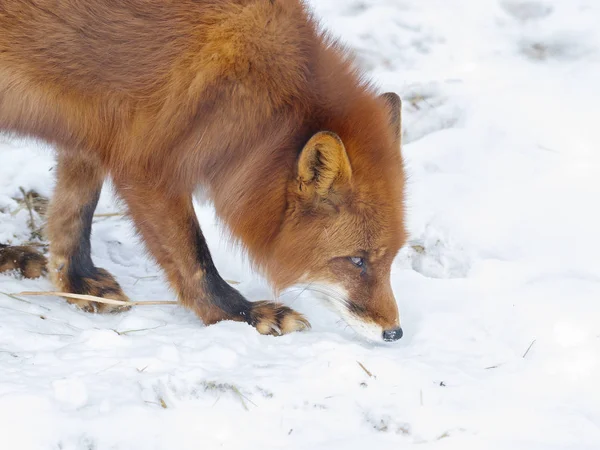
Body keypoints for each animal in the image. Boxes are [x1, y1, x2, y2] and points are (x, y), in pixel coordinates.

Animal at [0, 0, 408, 342]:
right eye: (357, 260)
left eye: (392, 257)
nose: (395, 333)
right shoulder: (147, 166)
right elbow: (195, 260)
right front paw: (242, 315)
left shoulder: (95, 132)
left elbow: (74, 212)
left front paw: (76, 282)